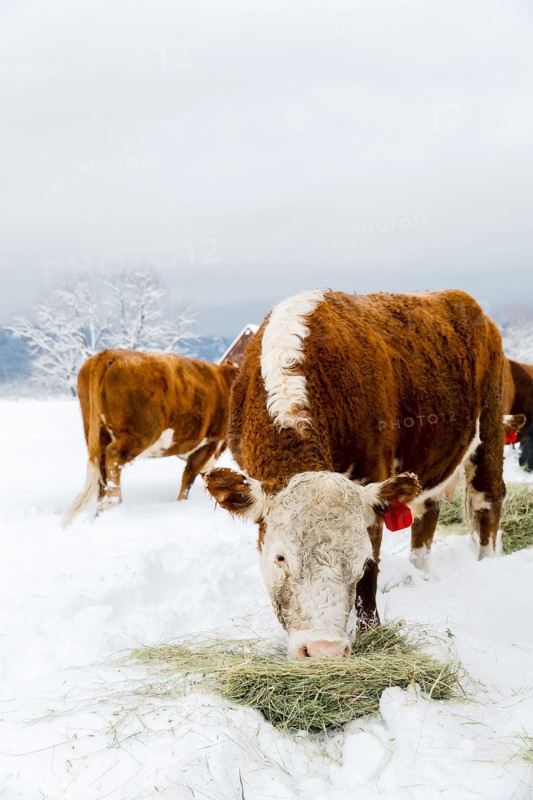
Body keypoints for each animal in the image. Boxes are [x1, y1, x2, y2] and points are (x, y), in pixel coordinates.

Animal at [64, 349, 238, 525]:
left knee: (101, 464)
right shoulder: (210, 443)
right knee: (113, 456)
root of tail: (109, 353)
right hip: (141, 433)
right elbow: (189, 477)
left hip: (97, 431)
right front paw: (181, 503)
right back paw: (112, 504)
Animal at [205, 289, 509, 659]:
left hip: (490, 427)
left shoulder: (372, 478)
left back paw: (486, 565)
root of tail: (460, 297)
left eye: (360, 560)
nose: (323, 649)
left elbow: (372, 576)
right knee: (427, 514)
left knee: (487, 499)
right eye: (280, 556)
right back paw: (419, 572)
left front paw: (369, 631)